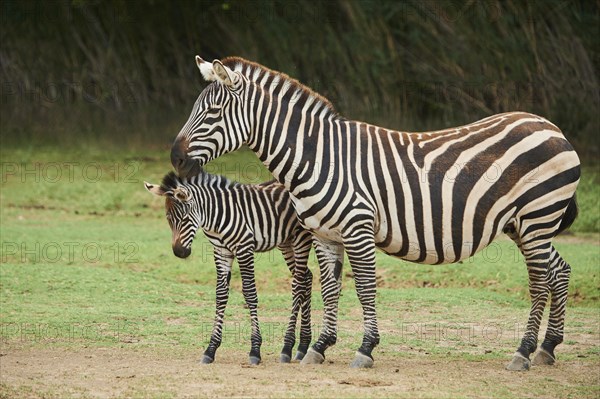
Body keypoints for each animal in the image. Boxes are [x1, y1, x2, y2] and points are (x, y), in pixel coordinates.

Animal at [145, 170, 314, 364]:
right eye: (168, 219)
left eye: (185, 218)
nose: (180, 252)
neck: (215, 218)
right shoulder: (221, 252)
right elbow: (221, 294)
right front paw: (210, 349)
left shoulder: (244, 248)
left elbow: (250, 294)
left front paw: (255, 350)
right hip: (286, 242)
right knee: (307, 278)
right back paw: (303, 346)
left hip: (301, 238)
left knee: (298, 285)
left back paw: (288, 347)